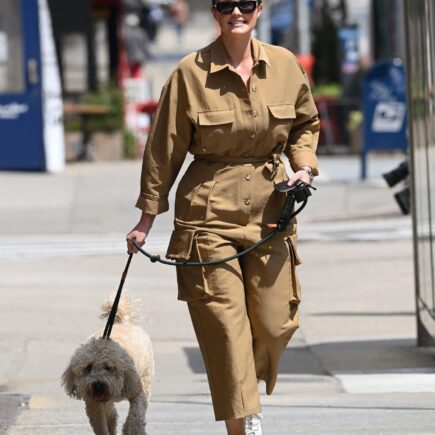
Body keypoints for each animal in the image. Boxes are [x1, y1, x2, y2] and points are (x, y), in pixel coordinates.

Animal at [62, 298, 154, 434]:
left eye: (109, 367)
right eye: (88, 368)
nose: (98, 385)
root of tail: (123, 323)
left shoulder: (137, 392)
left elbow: (136, 417)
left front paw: (134, 429)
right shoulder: (93, 404)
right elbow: (101, 426)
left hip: (146, 379)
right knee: (112, 414)